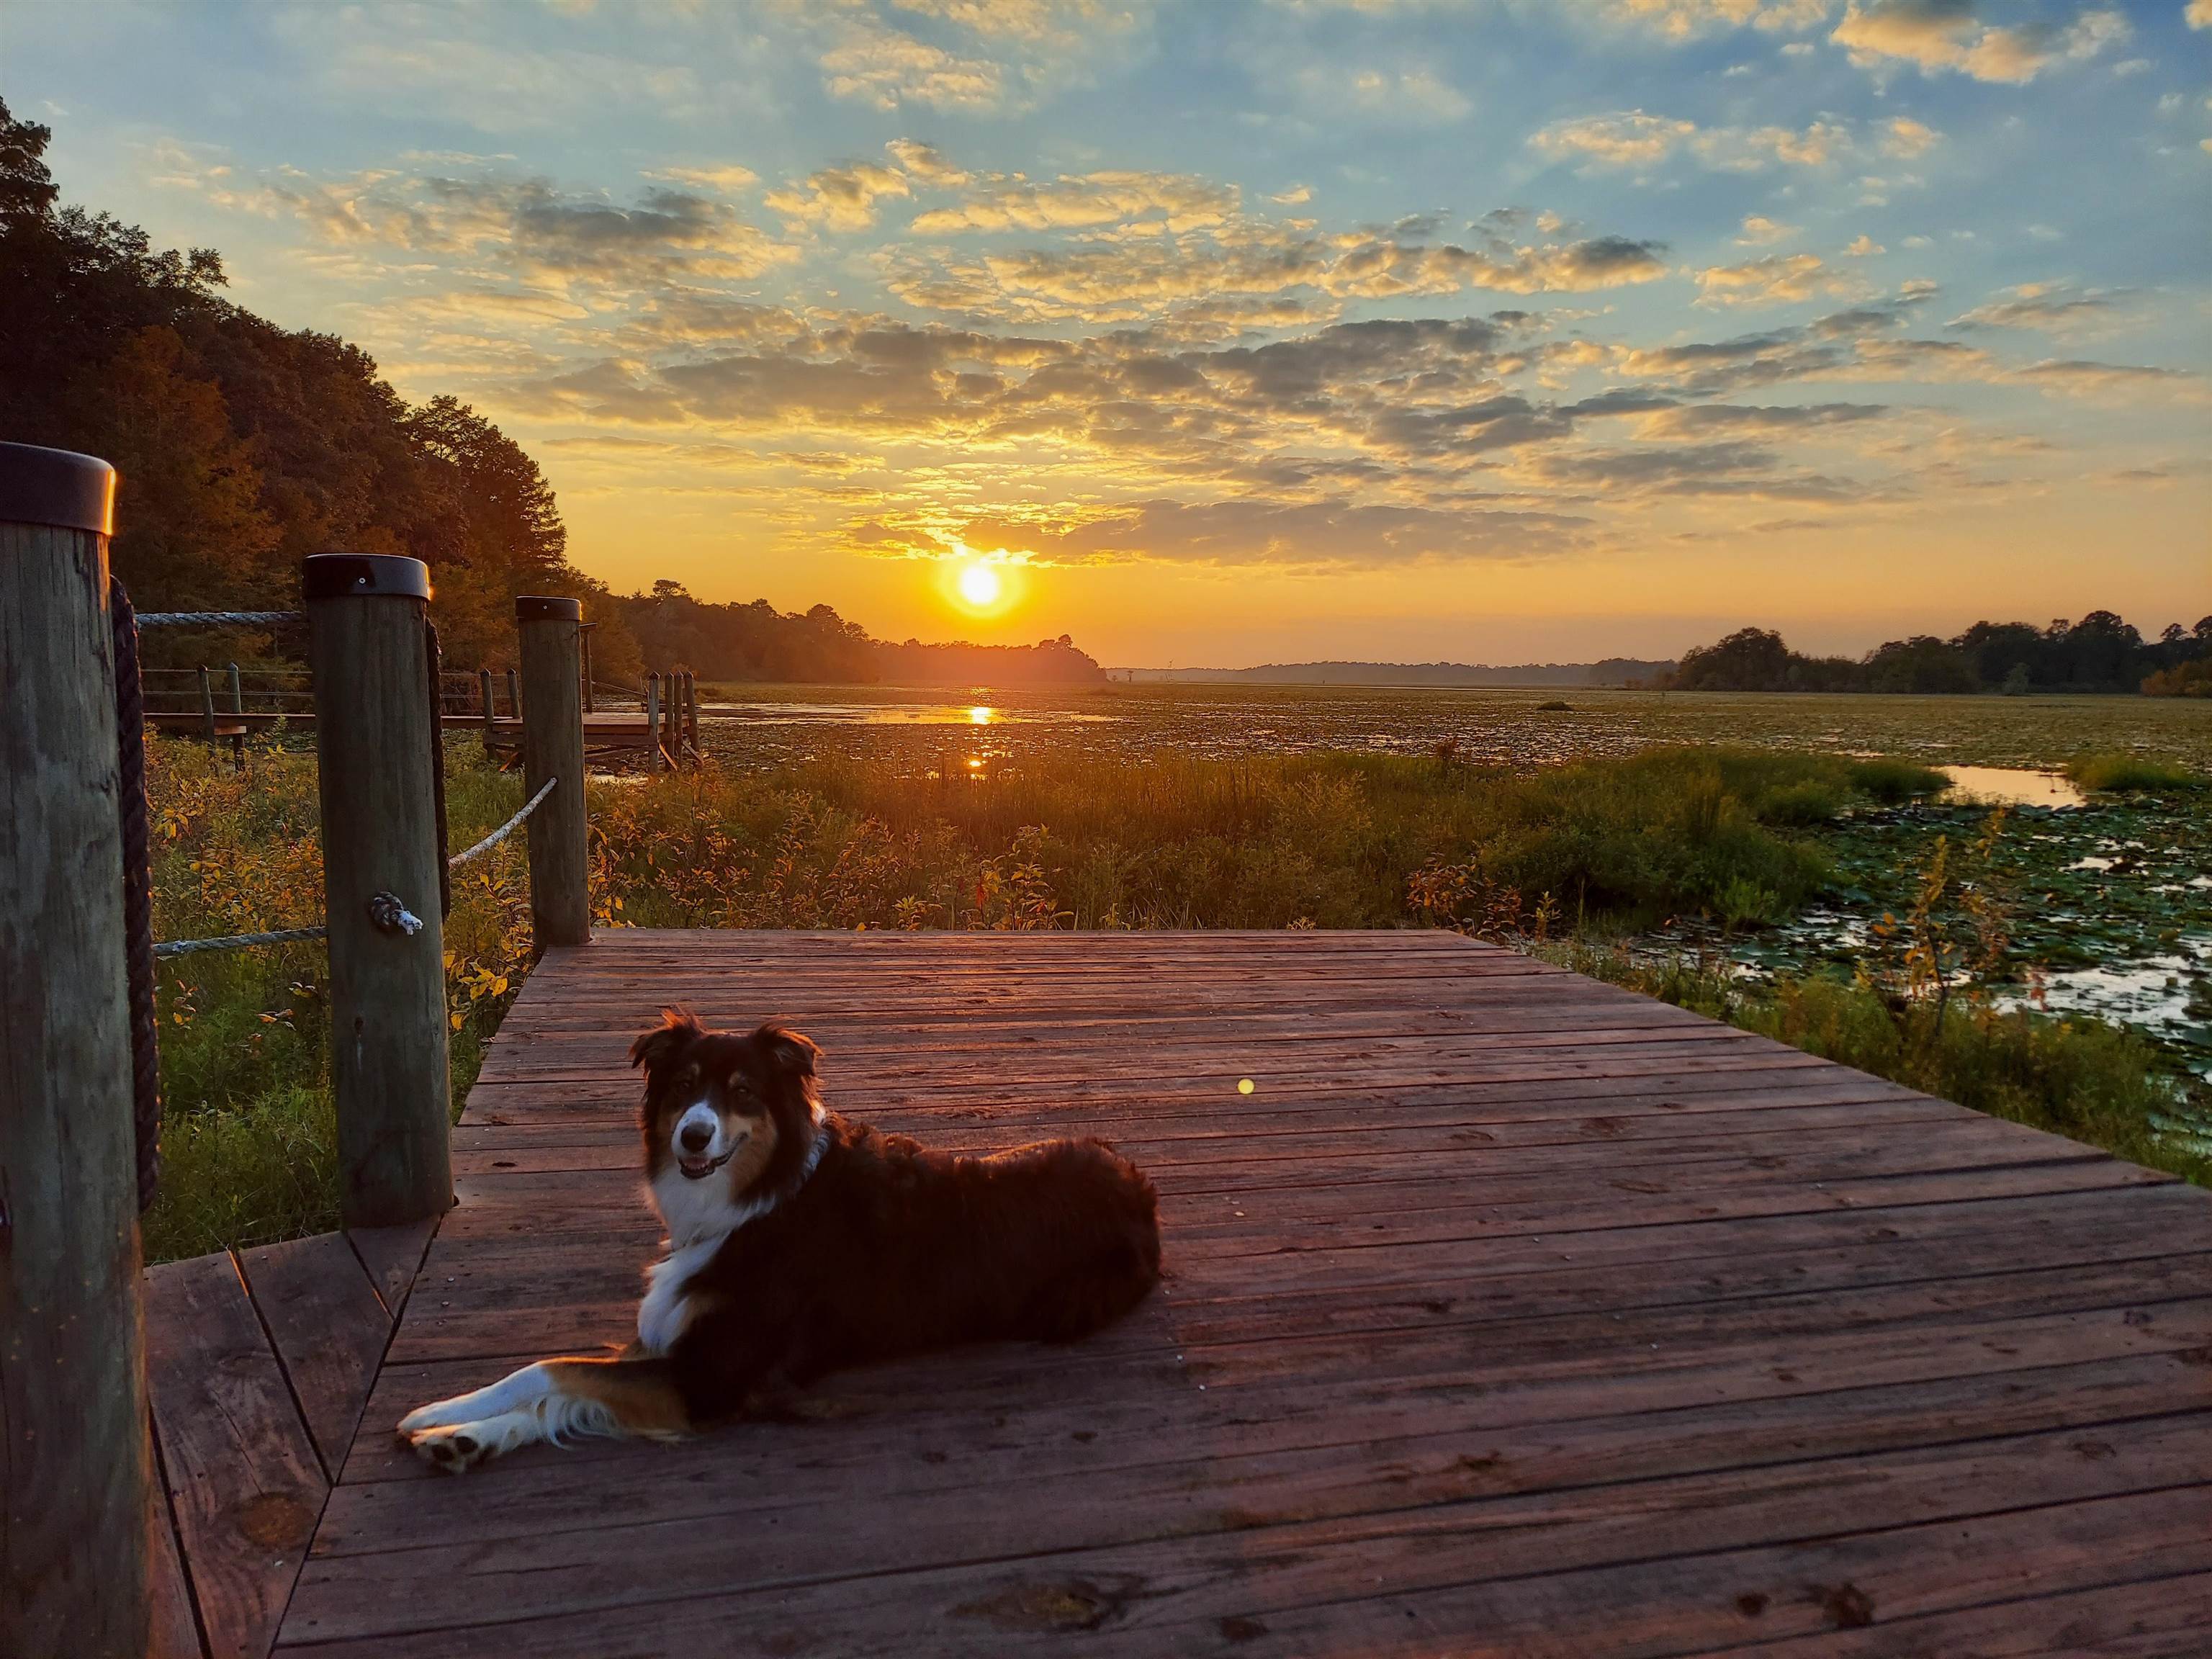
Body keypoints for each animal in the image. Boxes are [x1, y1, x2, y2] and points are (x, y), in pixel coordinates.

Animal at [400, 1008, 1168, 1478]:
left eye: (743, 1092)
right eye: (684, 1087)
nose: (694, 1136)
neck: (754, 1203)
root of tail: (1138, 1183)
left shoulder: (709, 1377)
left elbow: (551, 1370)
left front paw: (436, 1413)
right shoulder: (667, 1338)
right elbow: (553, 1388)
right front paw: (462, 1434)